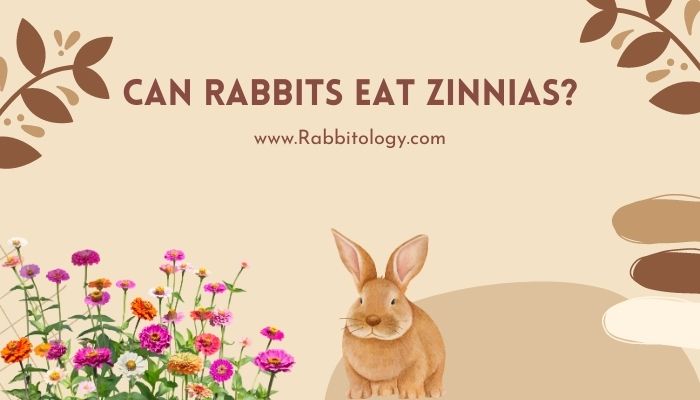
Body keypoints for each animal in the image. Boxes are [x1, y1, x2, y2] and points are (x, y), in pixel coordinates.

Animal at [331, 229, 446, 399]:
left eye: (393, 301)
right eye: (361, 300)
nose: (372, 320)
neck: (376, 341)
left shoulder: (418, 361)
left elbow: (412, 378)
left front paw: (411, 395)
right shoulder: (349, 364)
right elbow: (356, 380)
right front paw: (358, 395)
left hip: (439, 361)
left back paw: (434, 392)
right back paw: (384, 391)